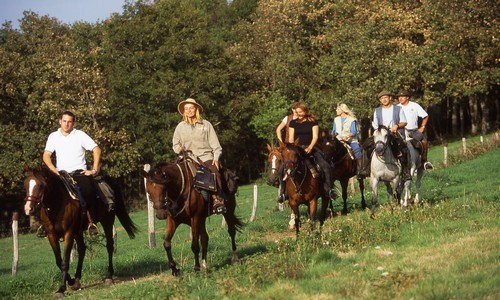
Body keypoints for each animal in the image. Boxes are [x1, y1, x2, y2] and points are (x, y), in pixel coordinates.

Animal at [22, 166, 138, 296]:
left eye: (41, 185)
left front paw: (61, 288)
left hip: (107, 221)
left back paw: (109, 276)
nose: (28, 209)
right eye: (25, 184)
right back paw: (77, 280)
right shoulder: (52, 235)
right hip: (78, 231)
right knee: (82, 250)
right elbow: (58, 261)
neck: (57, 203)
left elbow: (65, 262)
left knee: (109, 246)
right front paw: (71, 281)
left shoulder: (68, 233)